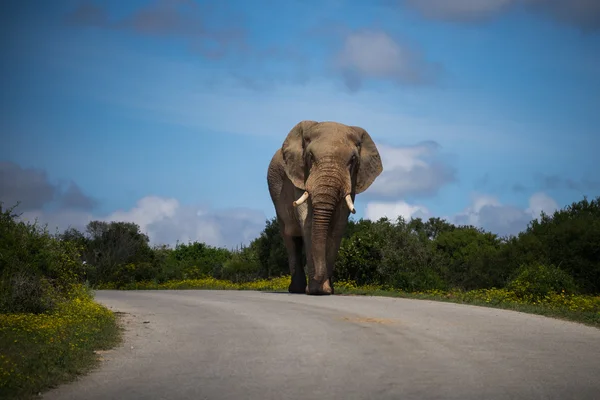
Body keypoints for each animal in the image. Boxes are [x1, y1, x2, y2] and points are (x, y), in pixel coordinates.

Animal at [268, 120, 384, 296]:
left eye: (353, 160)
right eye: (310, 156)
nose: (318, 277)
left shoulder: (352, 181)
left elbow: (337, 227)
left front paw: (326, 290)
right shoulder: (300, 176)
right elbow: (308, 223)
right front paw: (316, 290)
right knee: (290, 238)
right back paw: (296, 289)